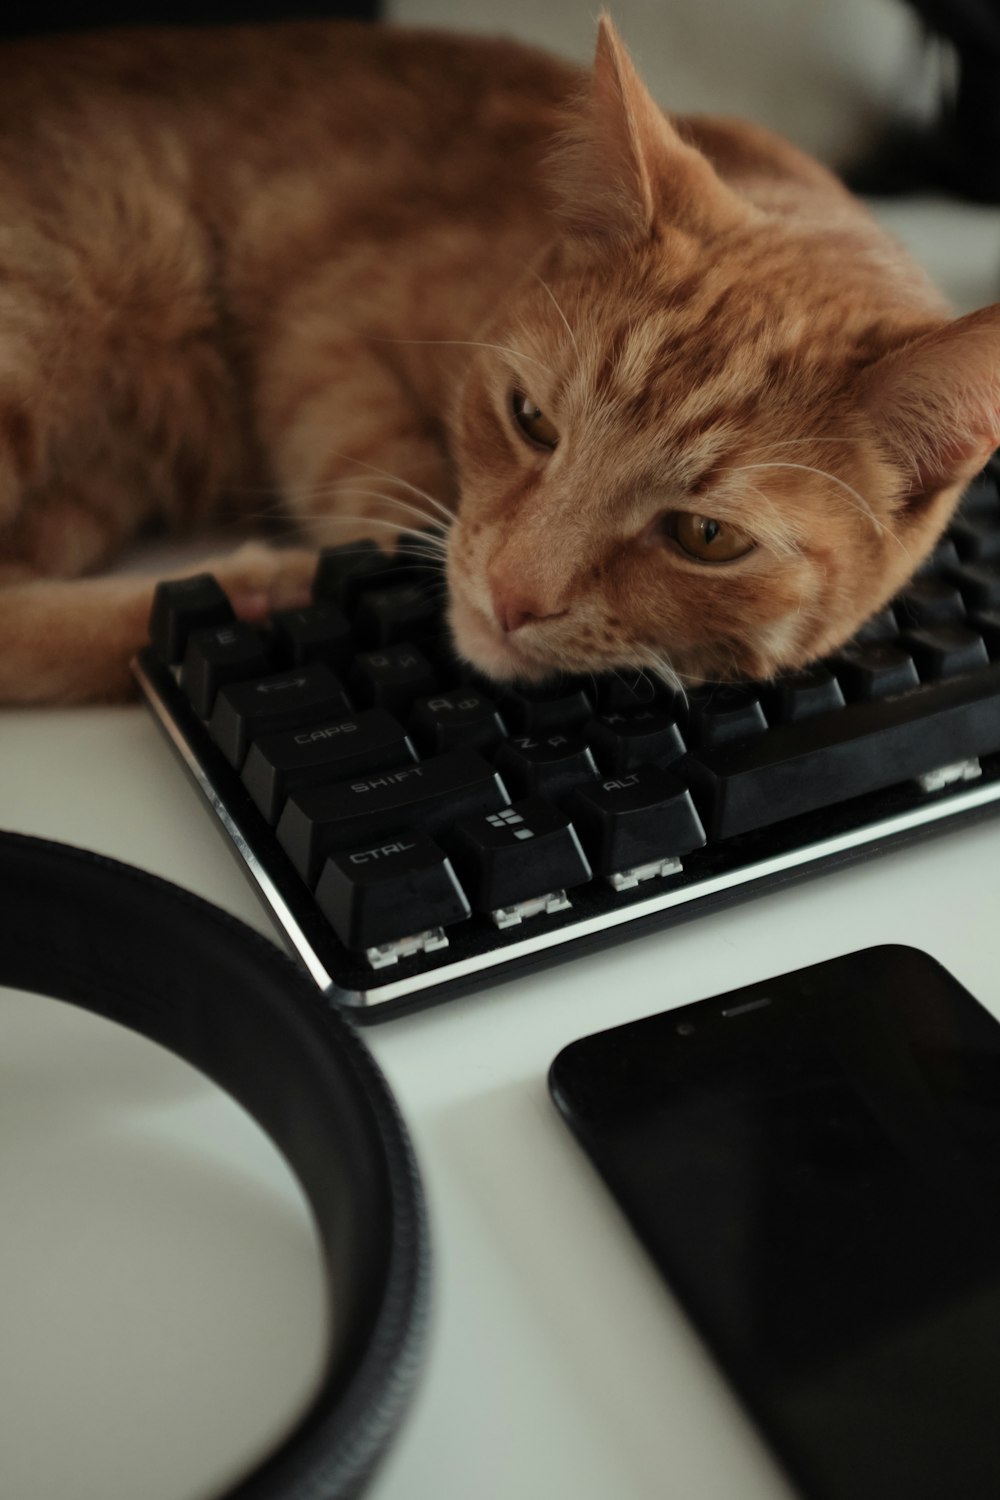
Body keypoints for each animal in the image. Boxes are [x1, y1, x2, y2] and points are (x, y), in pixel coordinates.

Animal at [1, 13, 1000, 702]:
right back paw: (253, 584)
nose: (513, 598)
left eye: (706, 538)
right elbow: (384, 483)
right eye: (532, 421)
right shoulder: (325, 339)